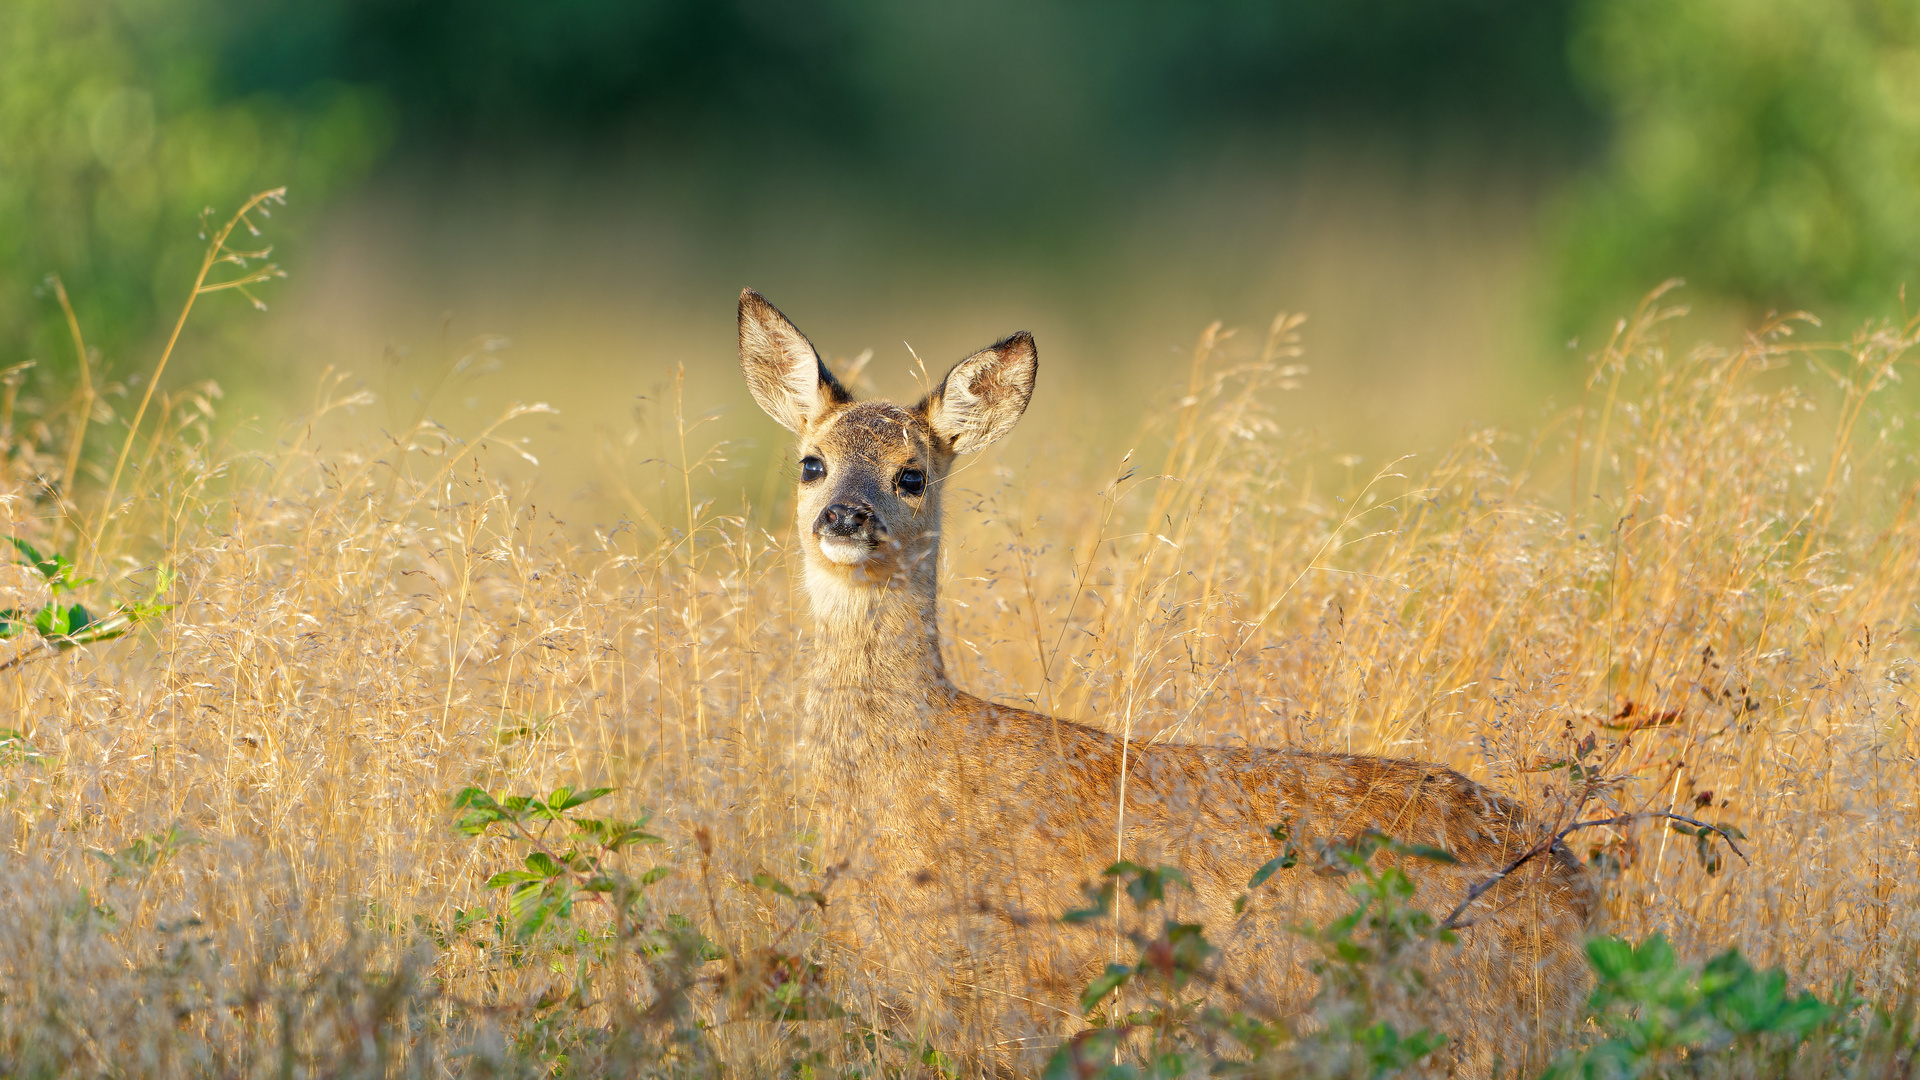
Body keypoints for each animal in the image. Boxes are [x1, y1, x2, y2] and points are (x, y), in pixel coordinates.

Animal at [741, 288, 1597, 1068]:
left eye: (912, 474)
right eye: (812, 464)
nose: (845, 517)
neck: (913, 766)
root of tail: (1581, 889)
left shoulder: (1025, 992)